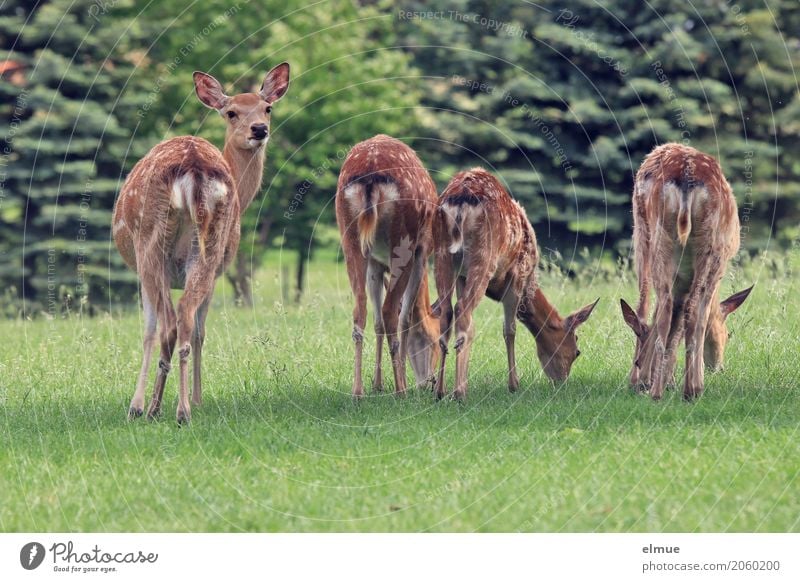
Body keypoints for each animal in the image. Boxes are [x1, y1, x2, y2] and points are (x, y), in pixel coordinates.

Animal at [111, 62, 290, 424]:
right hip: (207, 245)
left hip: (152, 243)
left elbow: (153, 330)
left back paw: (162, 408)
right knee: (182, 316)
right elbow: (191, 330)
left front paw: (139, 405)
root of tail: (193, 167)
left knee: (171, 322)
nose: (259, 129)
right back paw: (180, 409)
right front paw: (190, 399)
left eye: (267, 107)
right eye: (231, 112)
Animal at [334, 136, 440, 402]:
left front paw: (378, 384)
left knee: (360, 309)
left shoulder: (375, 262)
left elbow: (377, 322)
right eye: (435, 341)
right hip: (404, 240)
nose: (430, 382)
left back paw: (358, 392)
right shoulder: (422, 252)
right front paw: (399, 381)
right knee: (391, 311)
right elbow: (405, 317)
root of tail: (371, 174)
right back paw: (400, 391)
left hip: (349, 236)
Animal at [434, 169, 596, 402]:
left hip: (442, 255)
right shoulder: (519, 273)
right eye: (577, 351)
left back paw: (439, 391)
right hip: (484, 255)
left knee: (447, 311)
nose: (561, 381)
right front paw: (514, 385)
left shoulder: (461, 277)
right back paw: (460, 392)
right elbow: (509, 330)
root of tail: (460, 201)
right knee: (463, 311)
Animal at [620, 144, 756, 404]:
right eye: (728, 334)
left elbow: (671, 322)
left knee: (651, 307)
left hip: (654, 238)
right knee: (693, 310)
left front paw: (658, 379)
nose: (719, 367)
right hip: (710, 249)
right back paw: (692, 389)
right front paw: (674, 381)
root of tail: (685, 176)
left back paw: (650, 388)